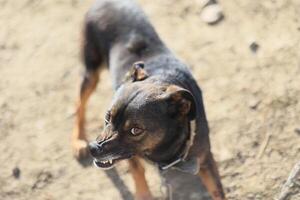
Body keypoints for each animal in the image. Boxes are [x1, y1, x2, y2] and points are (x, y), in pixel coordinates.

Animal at [72, 0, 226, 200]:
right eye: (107, 117)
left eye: (136, 130)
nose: (93, 148)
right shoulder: (133, 160)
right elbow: (139, 176)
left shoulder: (206, 160)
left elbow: (217, 191)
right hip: (91, 70)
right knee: (79, 102)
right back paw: (78, 141)